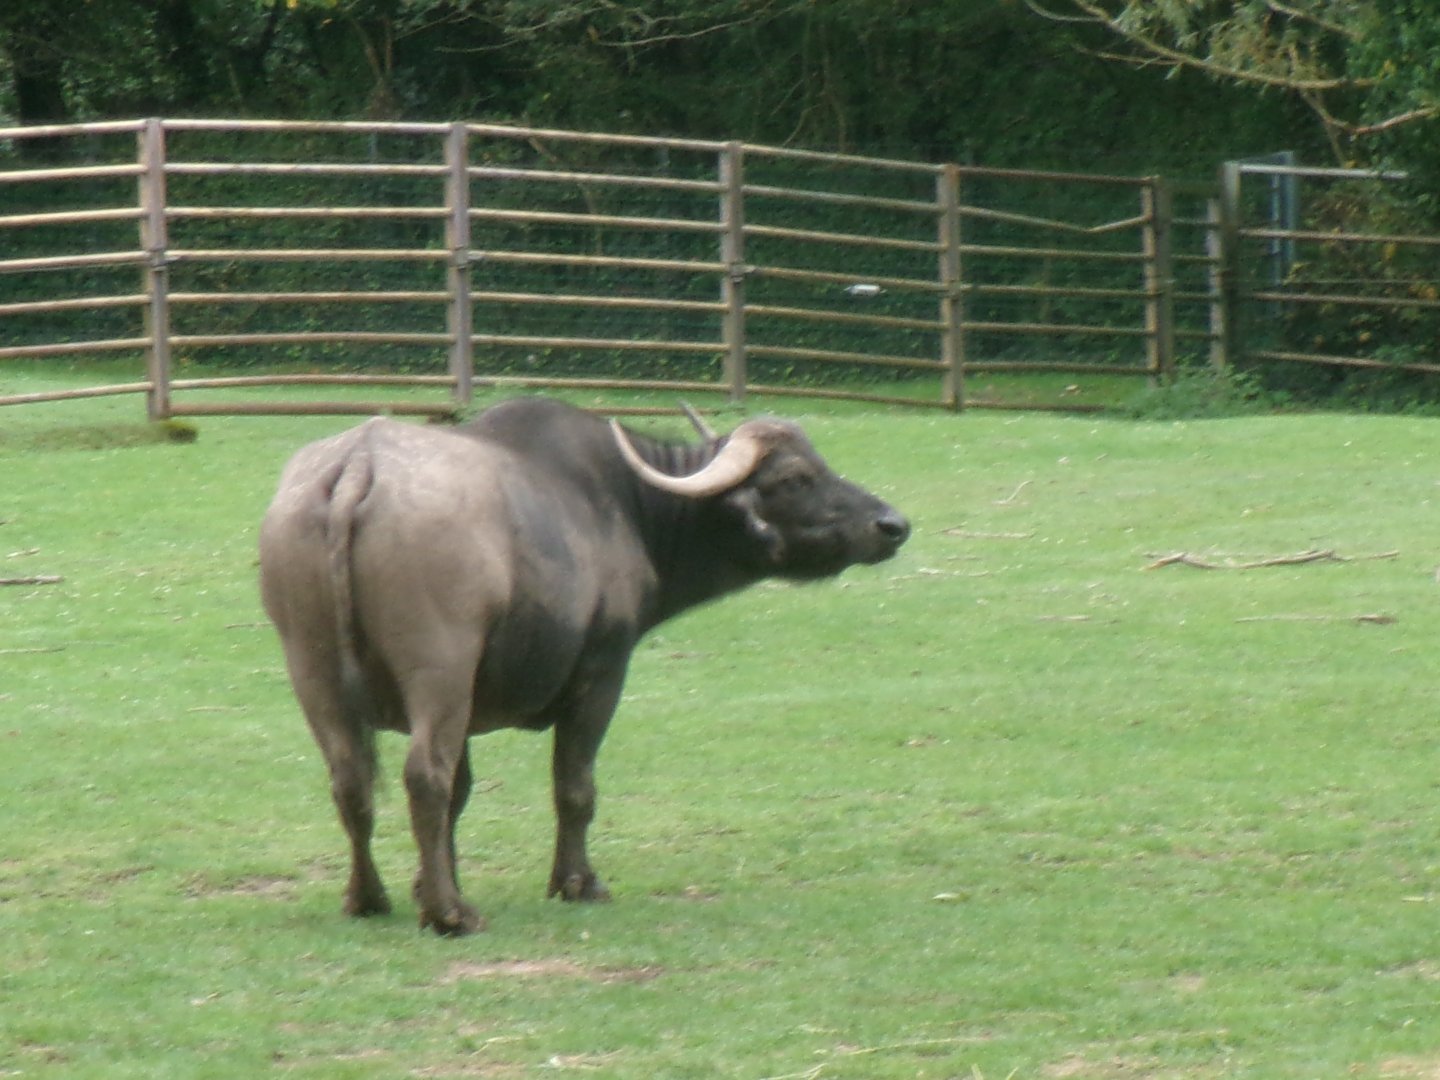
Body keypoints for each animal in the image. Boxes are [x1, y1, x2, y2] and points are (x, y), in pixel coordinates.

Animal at [258, 397, 908, 934]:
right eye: (795, 478)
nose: (892, 525)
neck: (627, 506)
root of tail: (358, 466)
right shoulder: (601, 674)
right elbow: (573, 786)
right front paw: (576, 882)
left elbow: (462, 796)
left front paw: (429, 882)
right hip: (439, 669)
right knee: (424, 776)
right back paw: (451, 915)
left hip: (311, 669)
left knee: (351, 780)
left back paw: (368, 897)